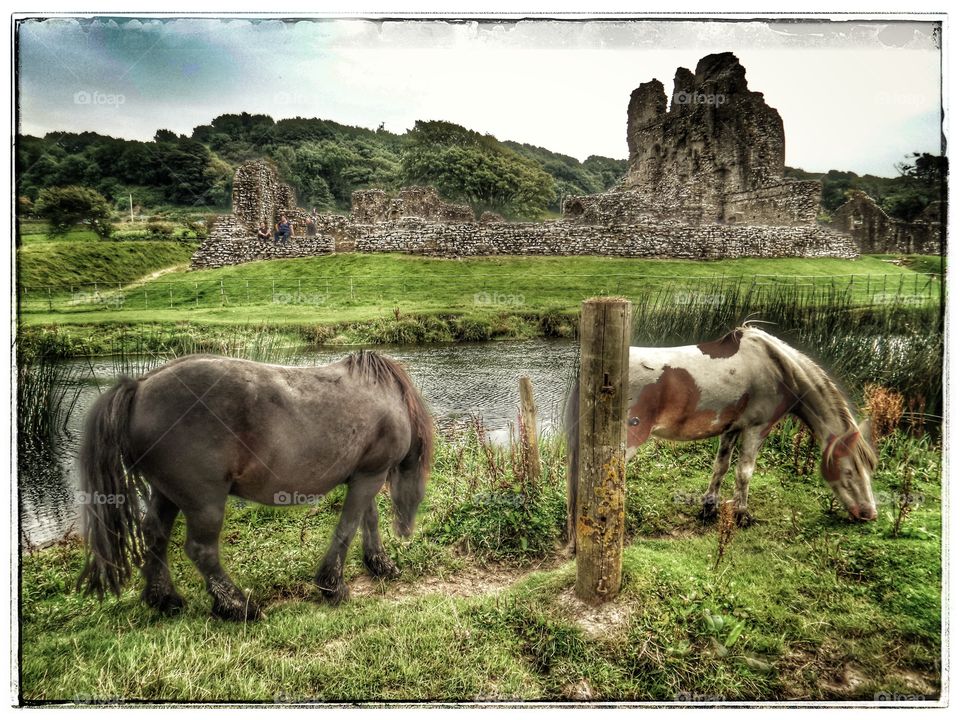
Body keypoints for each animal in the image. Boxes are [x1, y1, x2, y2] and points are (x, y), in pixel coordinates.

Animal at [77, 350, 434, 620]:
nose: (406, 530)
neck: (388, 398)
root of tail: (139, 387)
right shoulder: (370, 476)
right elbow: (348, 527)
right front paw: (333, 586)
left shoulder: (364, 475)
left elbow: (366, 520)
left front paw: (380, 565)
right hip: (204, 502)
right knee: (201, 550)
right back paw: (237, 607)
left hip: (166, 494)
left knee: (155, 534)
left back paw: (165, 599)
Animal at [568, 324, 880, 536]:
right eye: (850, 471)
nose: (870, 513)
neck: (779, 368)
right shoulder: (756, 429)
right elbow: (744, 472)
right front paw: (742, 515)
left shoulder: (732, 428)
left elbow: (721, 466)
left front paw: (709, 507)